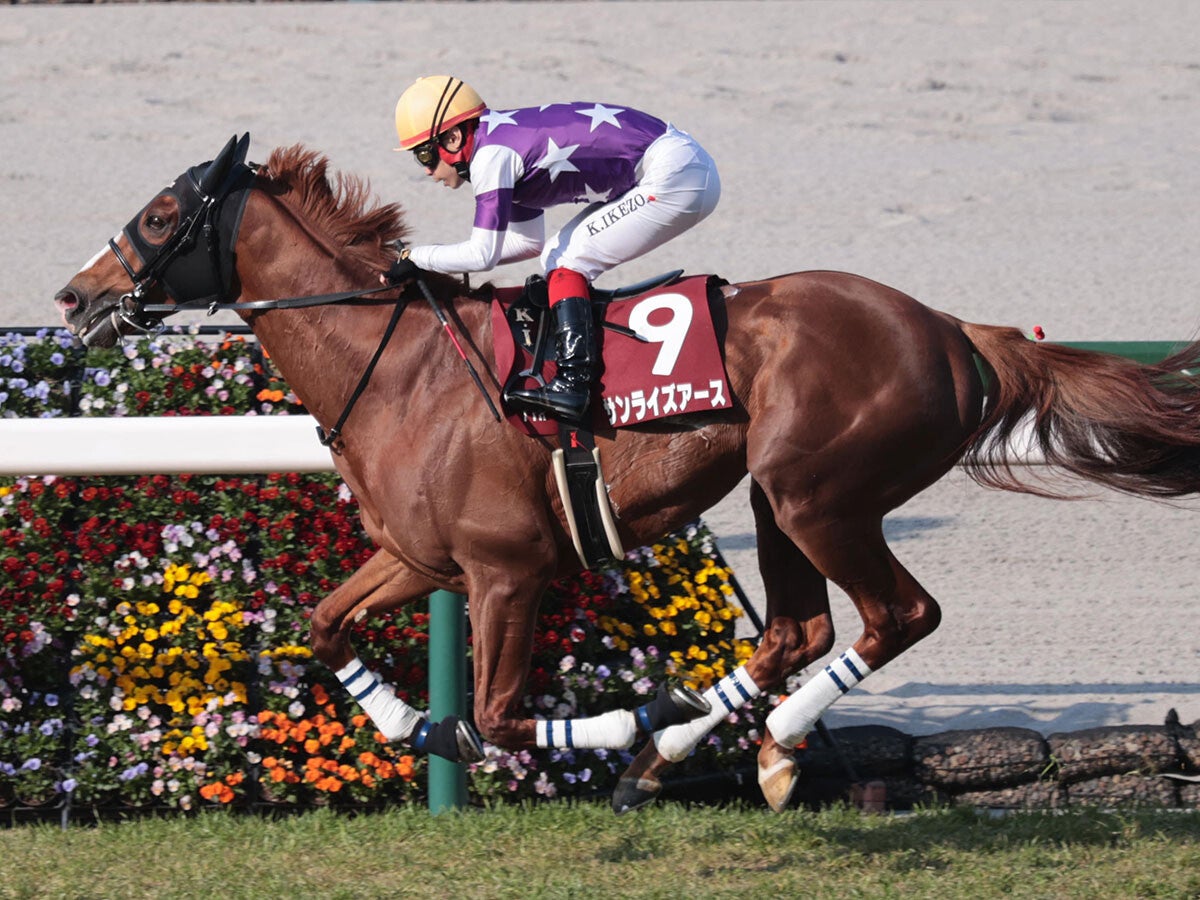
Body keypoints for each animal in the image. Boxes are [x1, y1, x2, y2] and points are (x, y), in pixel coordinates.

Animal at [54, 135, 1200, 813]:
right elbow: (327, 630)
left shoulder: (507, 570)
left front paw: (613, 721)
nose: (76, 295)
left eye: (160, 216)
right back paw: (704, 750)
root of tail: (954, 329)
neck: (400, 364)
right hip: (779, 494)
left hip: (823, 494)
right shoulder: (421, 558)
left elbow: (498, 716)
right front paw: (413, 726)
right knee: (800, 630)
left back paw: (749, 740)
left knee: (898, 615)